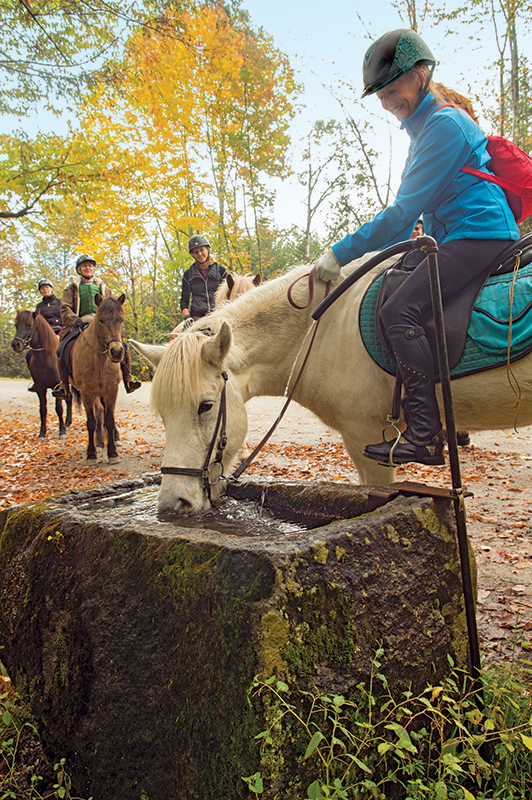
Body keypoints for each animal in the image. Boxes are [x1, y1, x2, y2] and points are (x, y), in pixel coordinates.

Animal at [11, 310, 72, 440]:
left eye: (29, 325)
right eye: (16, 325)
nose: (16, 344)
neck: (46, 358)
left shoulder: (57, 386)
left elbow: (59, 409)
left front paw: (62, 432)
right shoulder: (40, 388)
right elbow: (43, 410)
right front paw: (42, 433)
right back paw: (67, 423)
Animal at [69, 294, 126, 463]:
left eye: (121, 320)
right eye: (101, 320)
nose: (116, 352)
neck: (100, 361)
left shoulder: (111, 389)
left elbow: (109, 419)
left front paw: (113, 453)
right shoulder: (87, 392)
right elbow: (92, 422)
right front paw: (91, 454)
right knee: (98, 414)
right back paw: (99, 443)